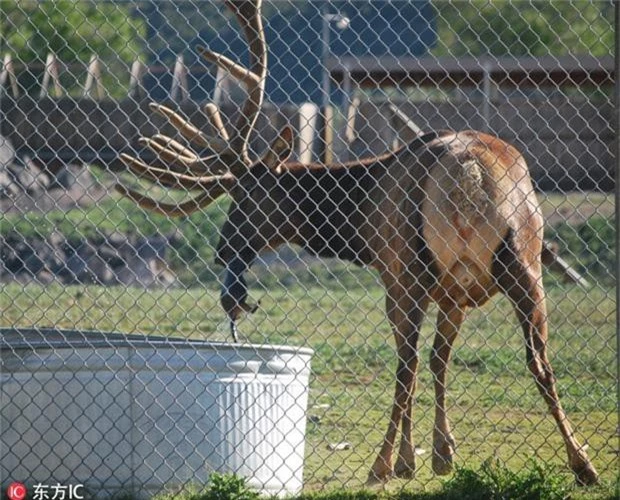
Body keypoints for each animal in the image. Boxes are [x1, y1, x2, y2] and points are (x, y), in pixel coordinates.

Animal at [115, 0, 596, 486]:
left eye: (247, 197)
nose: (222, 251)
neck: (360, 225)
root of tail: (469, 174)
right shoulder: (454, 294)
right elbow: (440, 361)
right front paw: (444, 453)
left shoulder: (393, 276)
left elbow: (418, 364)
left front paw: (412, 459)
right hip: (525, 259)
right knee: (538, 362)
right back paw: (583, 464)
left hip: (414, 266)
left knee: (407, 365)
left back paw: (382, 464)